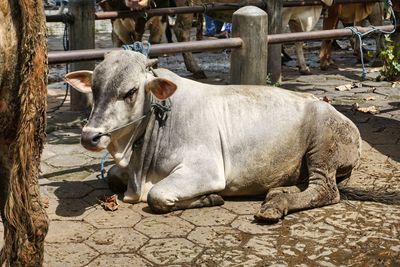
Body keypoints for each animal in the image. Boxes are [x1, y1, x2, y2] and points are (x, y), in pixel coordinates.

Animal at [65, 50, 362, 222]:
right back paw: (276, 193)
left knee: (325, 190)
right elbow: (113, 176)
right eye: (94, 88)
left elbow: (157, 196)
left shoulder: (205, 171)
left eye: (130, 92)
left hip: (322, 150)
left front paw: (211, 198)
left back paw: (276, 205)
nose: (90, 137)